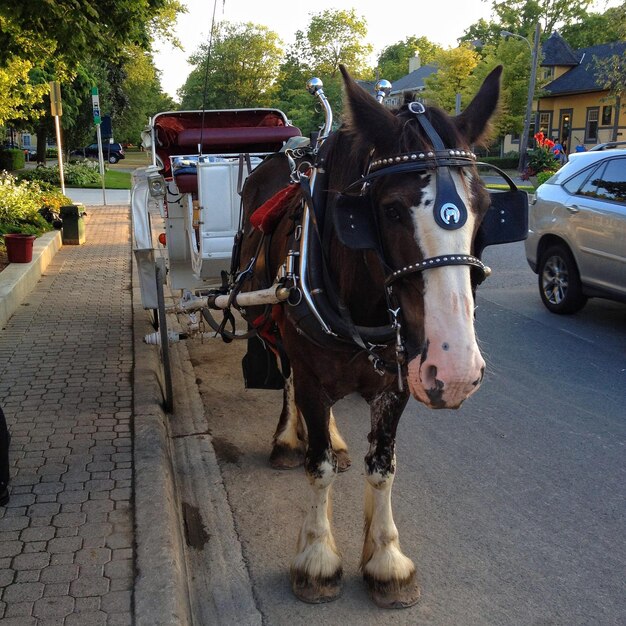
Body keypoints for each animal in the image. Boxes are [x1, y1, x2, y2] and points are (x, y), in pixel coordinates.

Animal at [236, 66, 500, 608]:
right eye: (393, 209)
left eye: (485, 206)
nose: (456, 371)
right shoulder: (312, 373)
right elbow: (317, 467)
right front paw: (317, 558)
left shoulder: (397, 382)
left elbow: (382, 466)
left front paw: (386, 560)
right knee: (288, 382)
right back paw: (288, 438)